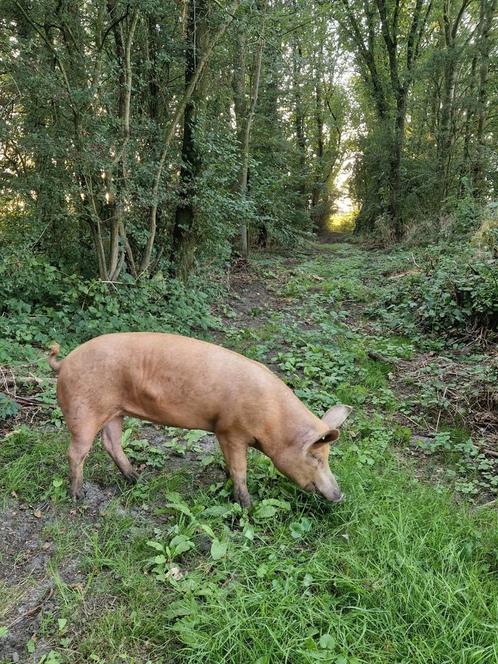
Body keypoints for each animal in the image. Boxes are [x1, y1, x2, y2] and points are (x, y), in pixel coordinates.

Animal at [46, 332, 350, 508]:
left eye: (327, 457)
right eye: (316, 457)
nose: (339, 495)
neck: (273, 421)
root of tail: (64, 362)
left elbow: (231, 466)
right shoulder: (230, 430)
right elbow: (240, 468)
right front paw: (248, 506)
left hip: (115, 411)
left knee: (111, 443)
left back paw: (136, 479)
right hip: (84, 413)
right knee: (76, 451)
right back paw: (78, 496)